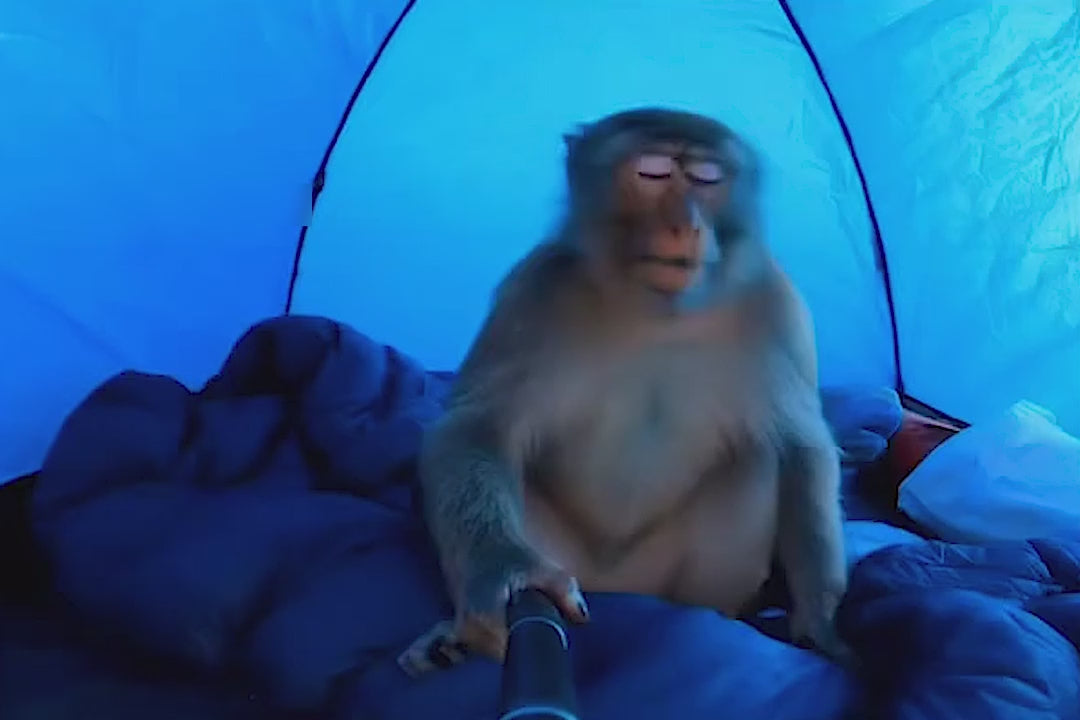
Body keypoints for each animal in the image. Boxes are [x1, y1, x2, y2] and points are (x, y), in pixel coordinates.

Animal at [398, 107, 851, 677]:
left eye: (707, 180)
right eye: (651, 173)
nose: (686, 224)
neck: (658, 313)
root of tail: (621, 587)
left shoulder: (780, 309)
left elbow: (802, 447)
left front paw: (819, 619)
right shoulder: (534, 291)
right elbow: (476, 430)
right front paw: (507, 574)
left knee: (757, 459)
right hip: (573, 561)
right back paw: (450, 640)